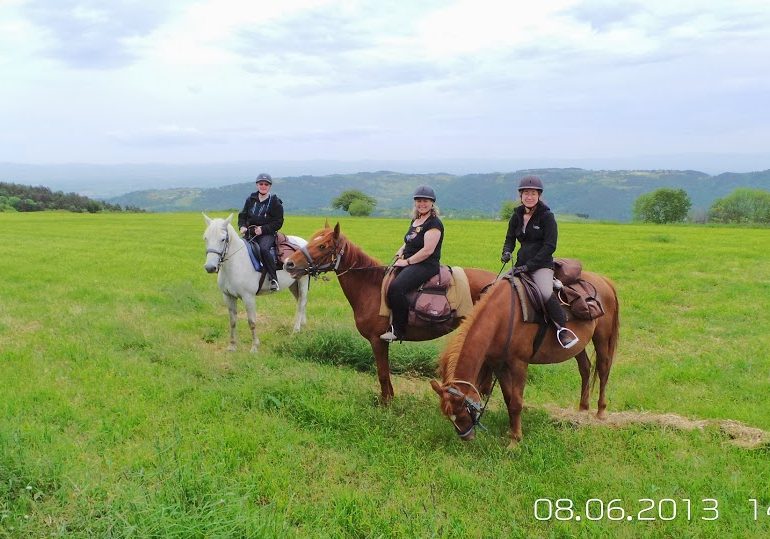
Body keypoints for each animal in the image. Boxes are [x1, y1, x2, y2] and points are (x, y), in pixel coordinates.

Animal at [201, 213, 308, 352]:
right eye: (206, 238)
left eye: (223, 239)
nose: (210, 267)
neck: (236, 263)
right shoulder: (228, 296)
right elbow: (232, 321)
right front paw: (232, 346)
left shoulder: (248, 297)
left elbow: (251, 322)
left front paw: (254, 347)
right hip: (293, 284)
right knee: (299, 301)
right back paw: (302, 326)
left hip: (303, 281)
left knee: (301, 303)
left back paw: (296, 330)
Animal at [282, 221, 492, 402]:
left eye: (322, 246)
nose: (288, 263)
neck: (371, 286)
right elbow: (385, 373)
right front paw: (389, 398)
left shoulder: (378, 340)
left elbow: (382, 373)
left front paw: (386, 403)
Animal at [428, 270, 620, 448]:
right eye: (448, 415)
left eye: (462, 410)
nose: (466, 437)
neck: (502, 316)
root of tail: (604, 280)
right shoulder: (499, 365)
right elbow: (508, 399)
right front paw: (511, 431)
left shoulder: (519, 364)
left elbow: (516, 402)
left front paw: (515, 440)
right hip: (578, 346)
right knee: (585, 368)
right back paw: (582, 408)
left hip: (602, 337)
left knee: (603, 369)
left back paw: (600, 412)